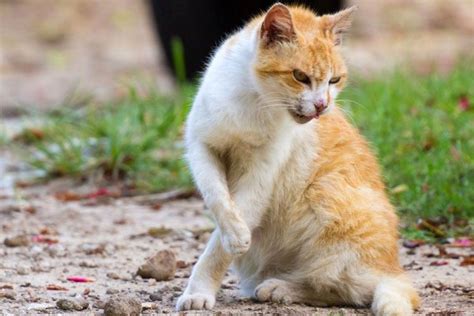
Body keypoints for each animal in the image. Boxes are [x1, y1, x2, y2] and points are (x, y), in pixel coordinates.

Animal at [177, 3, 418, 316]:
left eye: (334, 80)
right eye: (300, 76)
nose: (322, 105)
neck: (255, 101)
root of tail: (393, 269)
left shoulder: (259, 178)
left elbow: (217, 249)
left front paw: (200, 289)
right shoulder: (202, 148)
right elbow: (218, 199)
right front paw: (234, 236)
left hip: (326, 199)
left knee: (342, 287)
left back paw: (279, 287)